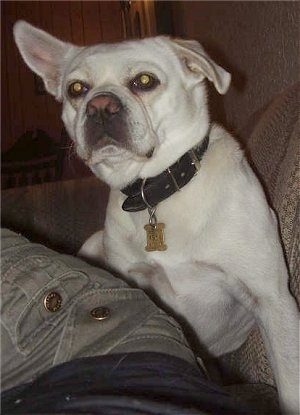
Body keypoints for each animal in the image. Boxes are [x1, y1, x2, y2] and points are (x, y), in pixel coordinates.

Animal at [14, 21, 300, 414]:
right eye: (76, 89)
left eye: (145, 81)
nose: (100, 105)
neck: (158, 192)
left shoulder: (271, 299)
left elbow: (290, 384)